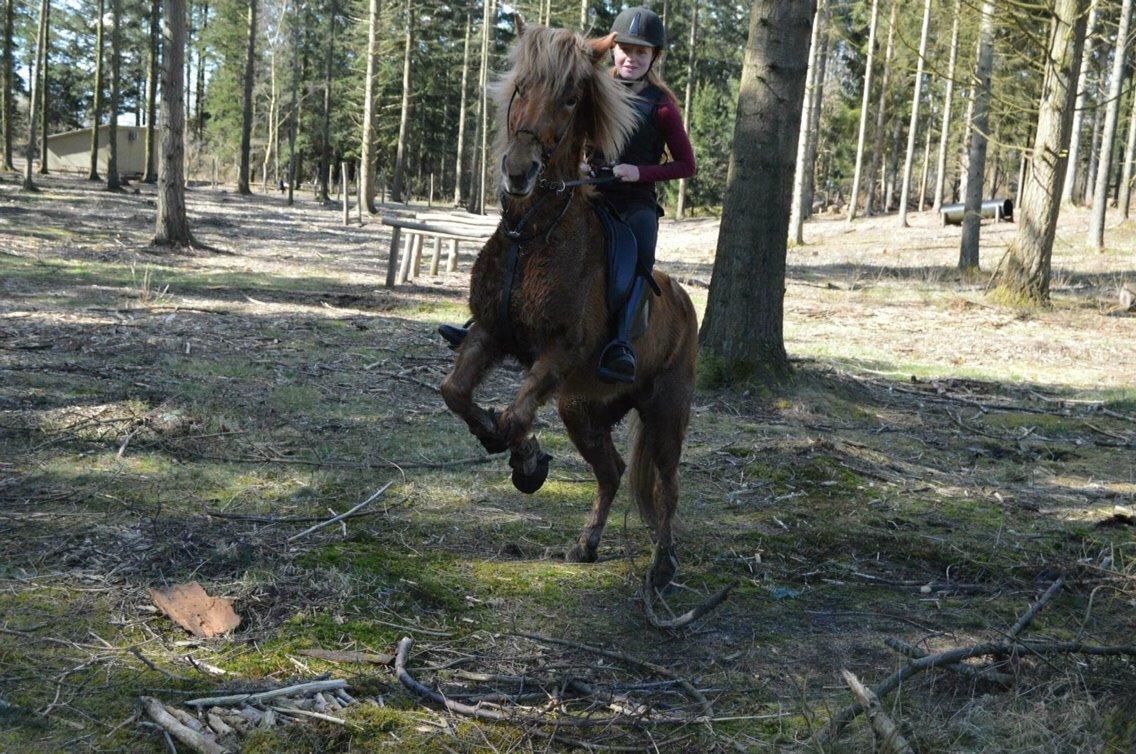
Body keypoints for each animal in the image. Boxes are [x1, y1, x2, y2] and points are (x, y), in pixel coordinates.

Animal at [440, 20, 699, 590]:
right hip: (581, 409)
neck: (530, 234)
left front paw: (526, 459)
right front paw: (519, 453)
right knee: (613, 472)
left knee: (668, 483)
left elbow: (515, 415)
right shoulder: (490, 333)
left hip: (666, 410)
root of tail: (685, 300)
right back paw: (587, 543)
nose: (518, 171)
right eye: (520, 88)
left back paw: (663, 562)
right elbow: (457, 394)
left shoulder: (559, 352)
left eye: (571, 97)